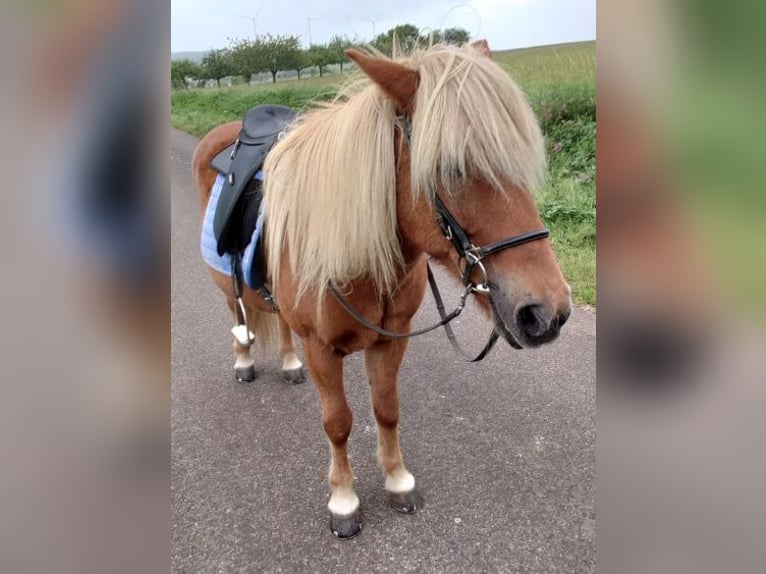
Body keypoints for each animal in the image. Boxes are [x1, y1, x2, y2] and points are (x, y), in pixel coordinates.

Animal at [191, 41, 572, 538]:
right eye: (451, 169)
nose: (548, 311)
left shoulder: (392, 339)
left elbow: (386, 409)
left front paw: (397, 479)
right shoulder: (322, 349)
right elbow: (338, 423)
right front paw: (343, 499)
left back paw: (289, 363)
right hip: (226, 284)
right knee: (238, 314)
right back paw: (244, 360)